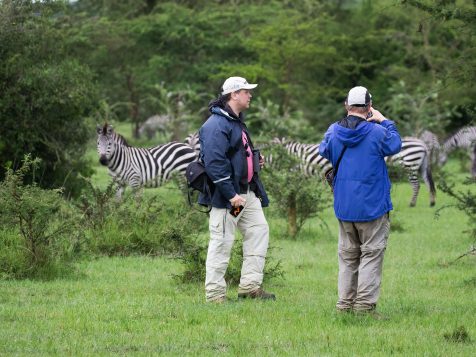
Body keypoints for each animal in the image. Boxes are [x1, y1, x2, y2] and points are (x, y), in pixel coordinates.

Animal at [272, 135, 436, 206]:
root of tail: (423, 144)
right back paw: (432, 202)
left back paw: (412, 203)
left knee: (416, 185)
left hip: (410, 164)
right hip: (420, 166)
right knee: (428, 184)